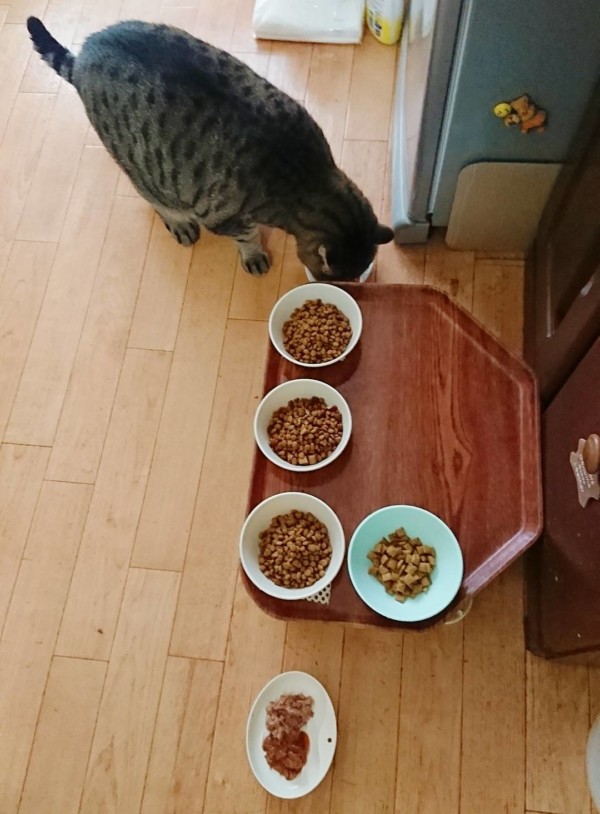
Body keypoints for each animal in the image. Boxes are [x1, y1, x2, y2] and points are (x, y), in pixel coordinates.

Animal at [27, 17, 394, 280]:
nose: (343, 287)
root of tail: (85, 53)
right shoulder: (224, 217)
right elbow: (247, 237)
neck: (304, 176)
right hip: (139, 165)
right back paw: (179, 223)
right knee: (154, 197)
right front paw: (254, 254)